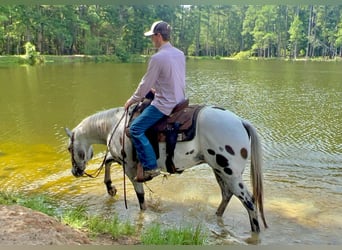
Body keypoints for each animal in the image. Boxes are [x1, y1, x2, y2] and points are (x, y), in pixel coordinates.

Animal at [65, 104, 268, 232]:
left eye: (69, 148)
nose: (75, 172)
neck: (114, 125)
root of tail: (241, 122)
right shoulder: (122, 160)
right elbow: (107, 160)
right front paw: (110, 188)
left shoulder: (130, 170)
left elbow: (141, 199)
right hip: (219, 170)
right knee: (227, 195)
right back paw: (216, 217)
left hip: (230, 174)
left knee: (249, 202)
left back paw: (255, 231)